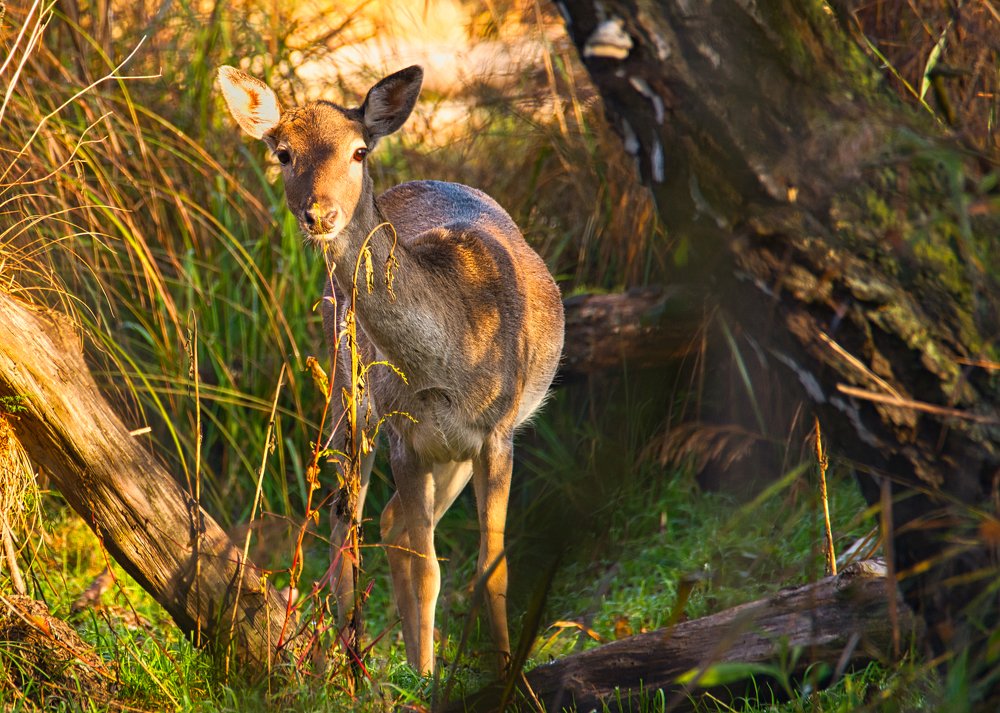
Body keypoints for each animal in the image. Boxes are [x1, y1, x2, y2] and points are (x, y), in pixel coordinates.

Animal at [217, 64, 565, 674]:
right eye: (283, 153)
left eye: (359, 151)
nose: (320, 214)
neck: (447, 366)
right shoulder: (406, 435)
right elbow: (424, 565)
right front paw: (426, 674)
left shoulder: (497, 434)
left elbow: (491, 567)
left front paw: (503, 674)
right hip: (346, 394)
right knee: (348, 520)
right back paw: (352, 662)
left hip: (448, 452)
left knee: (386, 520)